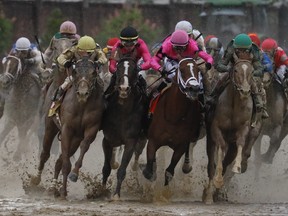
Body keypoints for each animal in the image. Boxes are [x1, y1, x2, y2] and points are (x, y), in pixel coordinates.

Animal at [30, 54, 104, 198]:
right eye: (75, 71)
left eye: (93, 72)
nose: (82, 93)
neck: (82, 105)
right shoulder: (67, 129)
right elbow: (64, 162)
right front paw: (63, 191)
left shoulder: (91, 128)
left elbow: (84, 146)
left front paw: (74, 174)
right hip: (50, 126)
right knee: (45, 153)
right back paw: (36, 179)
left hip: (75, 139)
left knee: (59, 160)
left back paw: (53, 188)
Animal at [100, 56, 148, 200]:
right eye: (118, 69)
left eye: (134, 69)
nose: (123, 89)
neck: (122, 111)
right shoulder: (107, 140)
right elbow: (106, 168)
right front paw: (101, 190)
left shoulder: (130, 142)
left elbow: (122, 169)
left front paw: (116, 194)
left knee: (138, 152)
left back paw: (135, 166)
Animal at [142, 57, 202, 186]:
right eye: (182, 70)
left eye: (198, 70)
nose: (194, 89)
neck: (174, 117)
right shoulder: (153, 142)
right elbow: (148, 172)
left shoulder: (181, 146)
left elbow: (169, 173)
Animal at [202, 54, 264, 204]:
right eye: (235, 70)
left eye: (252, 71)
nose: (245, 91)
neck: (234, 104)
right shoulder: (216, 128)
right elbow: (220, 147)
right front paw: (217, 181)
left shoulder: (243, 128)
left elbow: (240, 143)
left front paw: (237, 167)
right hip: (210, 140)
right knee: (211, 164)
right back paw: (209, 194)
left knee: (228, 159)